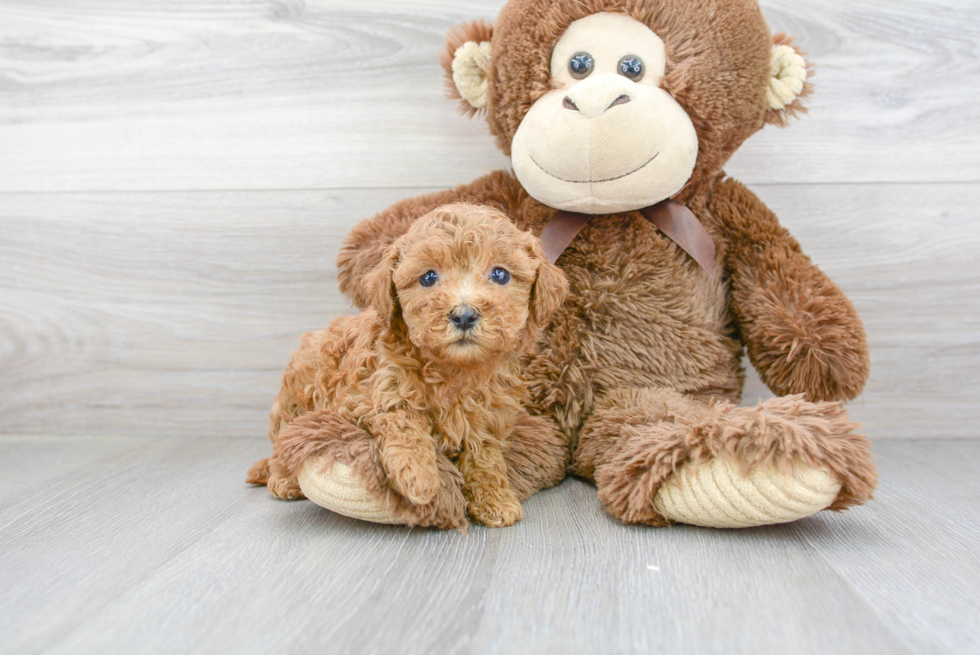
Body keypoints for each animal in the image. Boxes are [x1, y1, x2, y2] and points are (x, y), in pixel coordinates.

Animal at [247, 205, 568, 528]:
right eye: (428, 278)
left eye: (500, 274)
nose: (464, 315)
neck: (455, 369)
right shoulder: (370, 392)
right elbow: (403, 419)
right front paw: (418, 477)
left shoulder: (488, 418)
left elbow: (484, 457)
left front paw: (495, 499)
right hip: (292, 402)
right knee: (284, 448)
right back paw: (284, 480)